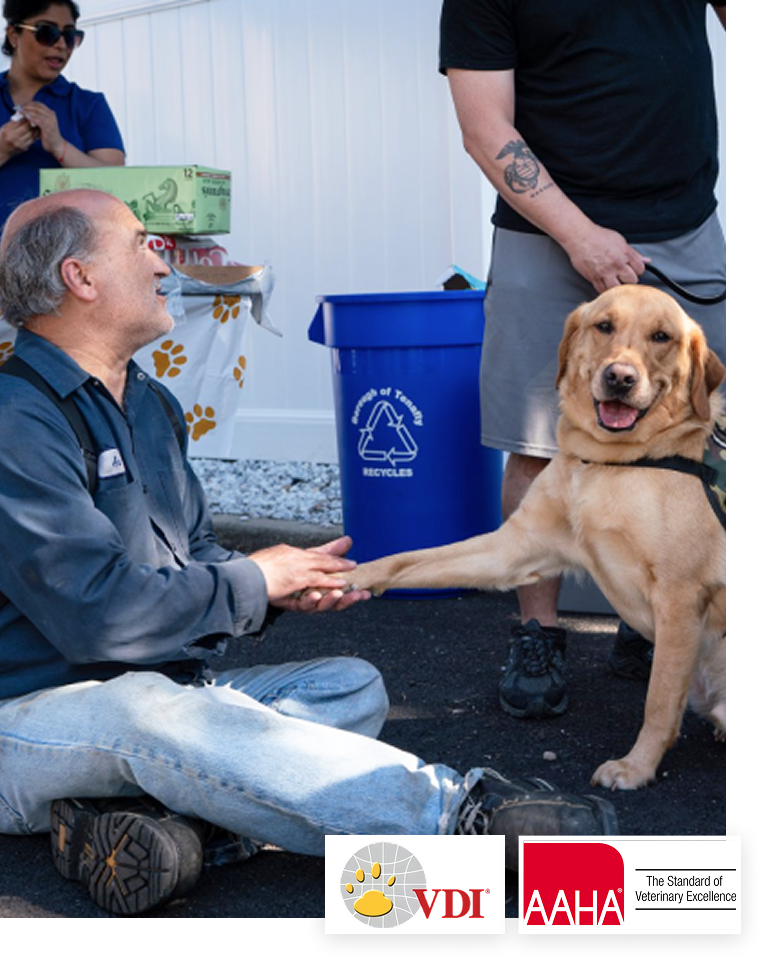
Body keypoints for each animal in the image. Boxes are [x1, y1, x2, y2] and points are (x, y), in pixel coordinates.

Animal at [348, 285, 726, 790]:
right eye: (604, 326)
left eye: (661, 337)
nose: (620, 378)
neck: (609, 463)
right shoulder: (512, 547)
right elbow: (411, 558)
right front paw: (345, 575)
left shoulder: (679, 596)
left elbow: (659, 701)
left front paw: (636, 766)